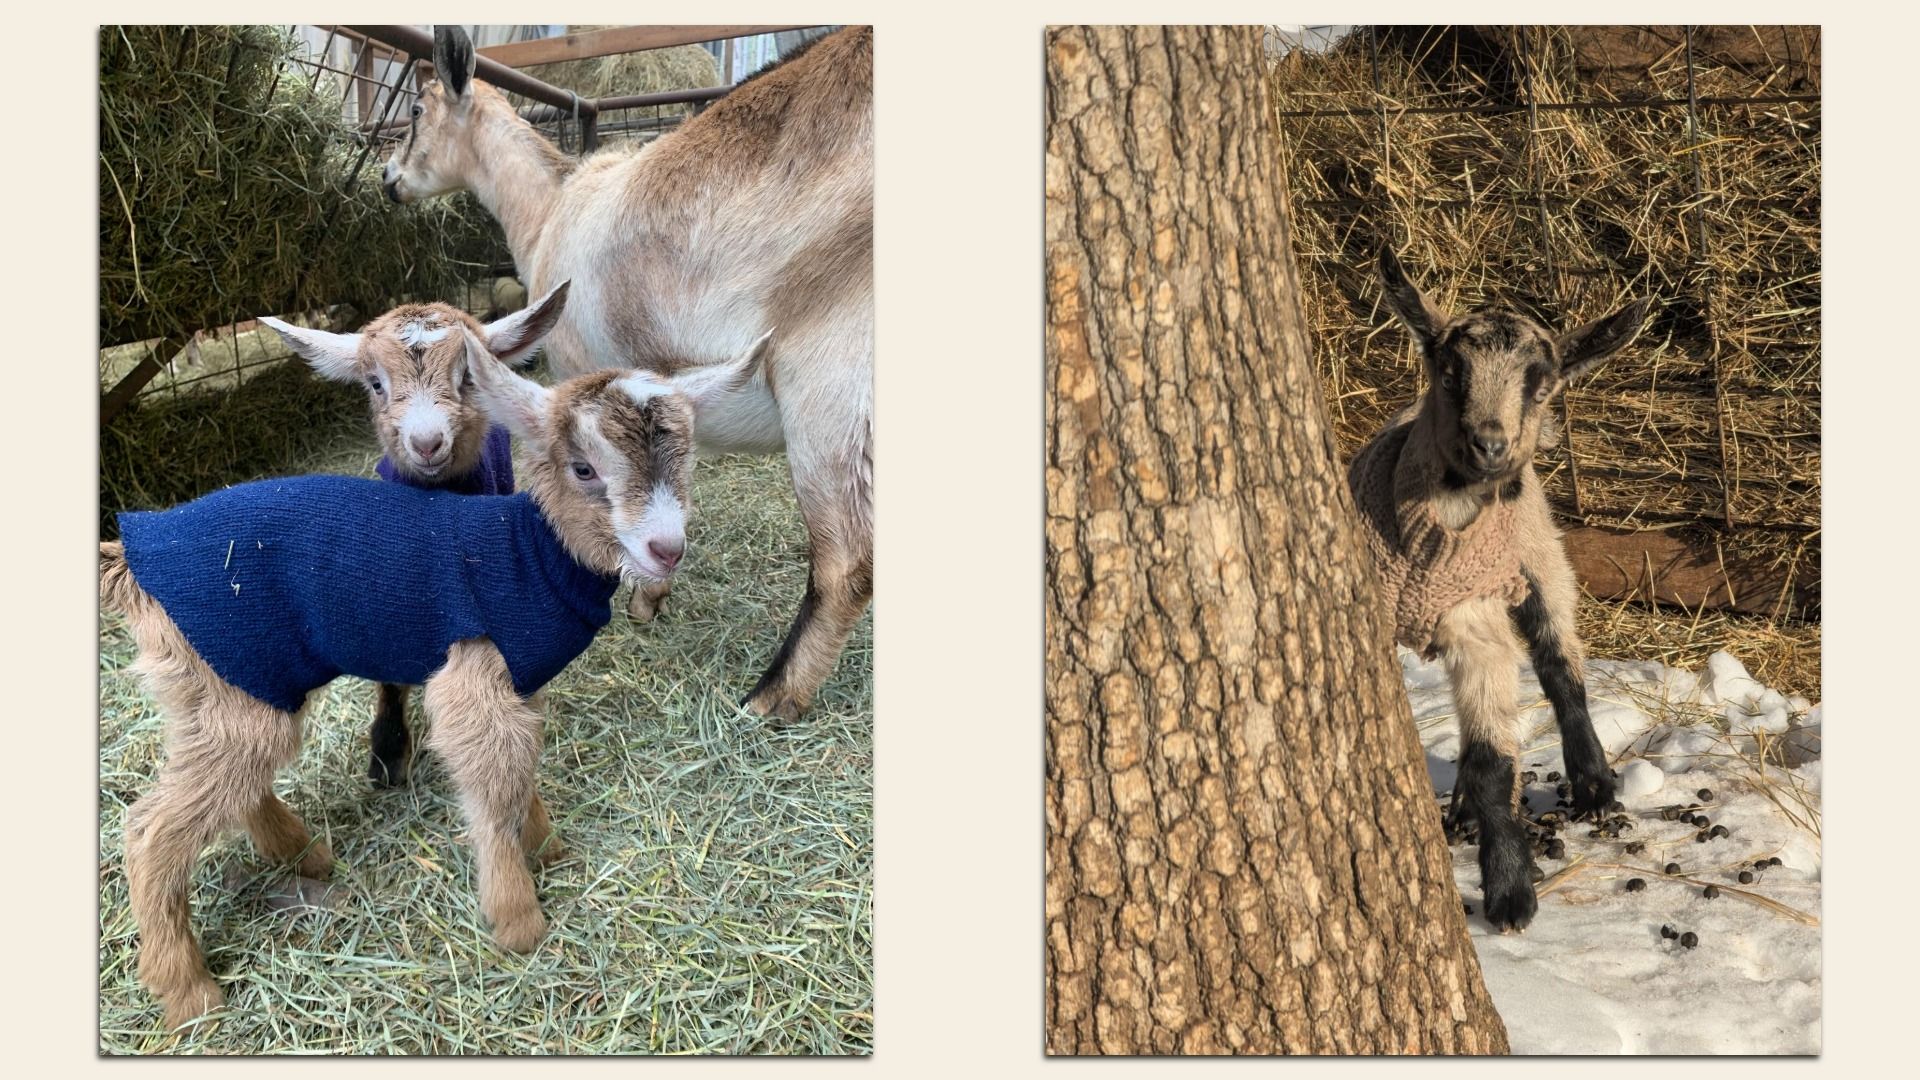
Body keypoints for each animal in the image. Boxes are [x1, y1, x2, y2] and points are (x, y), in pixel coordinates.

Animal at [382, 25, 872, 721]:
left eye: (417, 112)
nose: (388, 180)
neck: (549, 210)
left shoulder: (581, 371)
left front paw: (631, 596)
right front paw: (652, 595)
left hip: (828, 374)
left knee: (845, 563)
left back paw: (770, 698)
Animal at [1354, 245, 1651, 932]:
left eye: (1540, 385)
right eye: (1448, 373)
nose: (1488, 444)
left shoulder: (1477, 611)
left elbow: (1496, 762)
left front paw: (1511, 892)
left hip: (1541, 553)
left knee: (1560, 665)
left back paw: (1593, 786)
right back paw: (1465, 809)